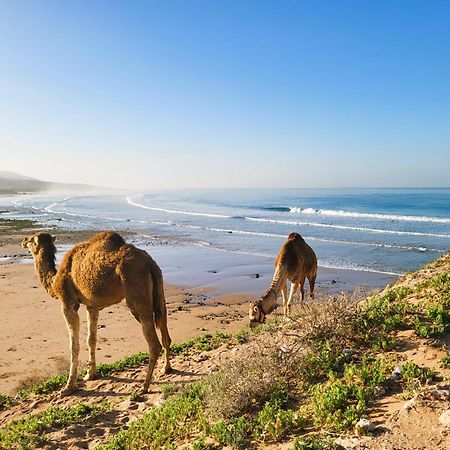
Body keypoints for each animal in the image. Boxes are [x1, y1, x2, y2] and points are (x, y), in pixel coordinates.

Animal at [19, 230, 171, 396]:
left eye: (31, 240)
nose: (23, 240)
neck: (54, 280)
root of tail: (150, 263)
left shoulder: (68, 304)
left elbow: (74, 345)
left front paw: (68, 387)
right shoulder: (92, 306)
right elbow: (91, 339)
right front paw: (90, 374)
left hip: (136, 296)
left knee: (154, 343)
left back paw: (144, 387)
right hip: (160, 292)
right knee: (165, 331)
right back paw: (166, 369)